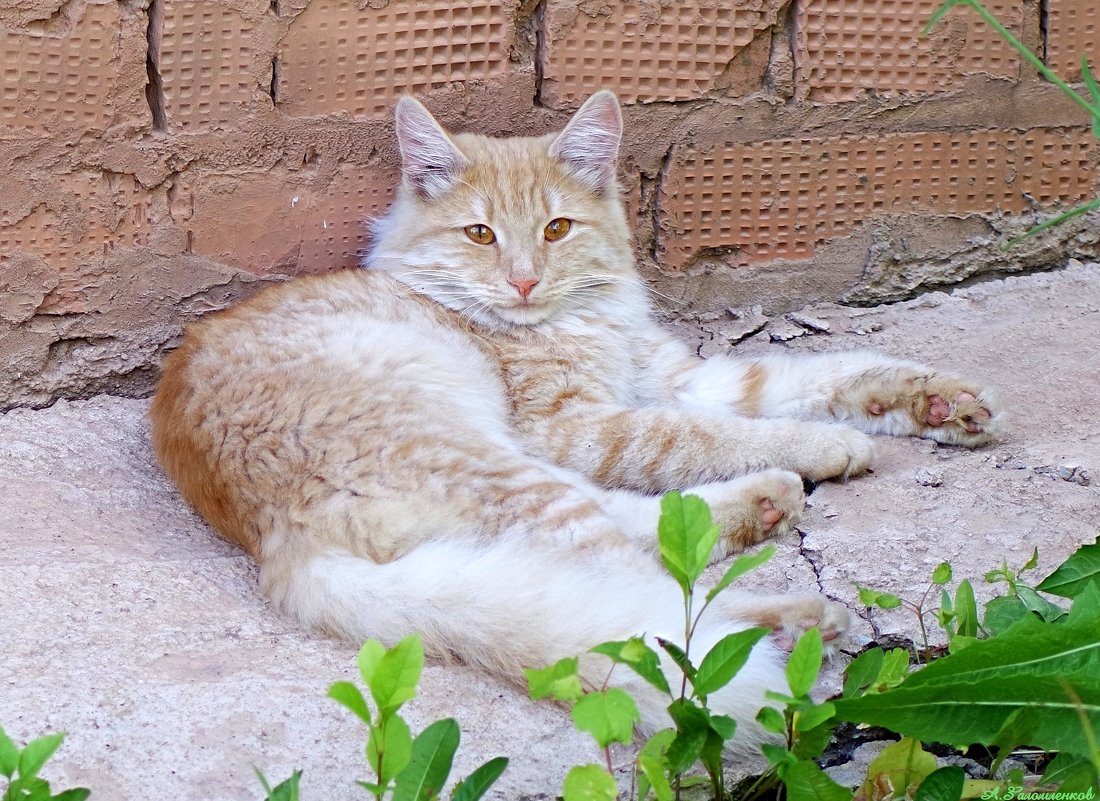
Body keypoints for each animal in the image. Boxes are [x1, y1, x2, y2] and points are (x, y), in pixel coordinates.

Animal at [152, 90, 1007, 748]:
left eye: (557, 229)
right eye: (481, 234)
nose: (525, 281)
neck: (577, 319)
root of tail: (278, 543)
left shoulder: (681, 376)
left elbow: (819, 375)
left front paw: (939, 404)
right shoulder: (577, 424)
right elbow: (712, 434)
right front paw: (831, 441)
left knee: (642, 540)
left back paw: (763, 506)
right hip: (499, 462)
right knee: (652, 612)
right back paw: (800, 617)